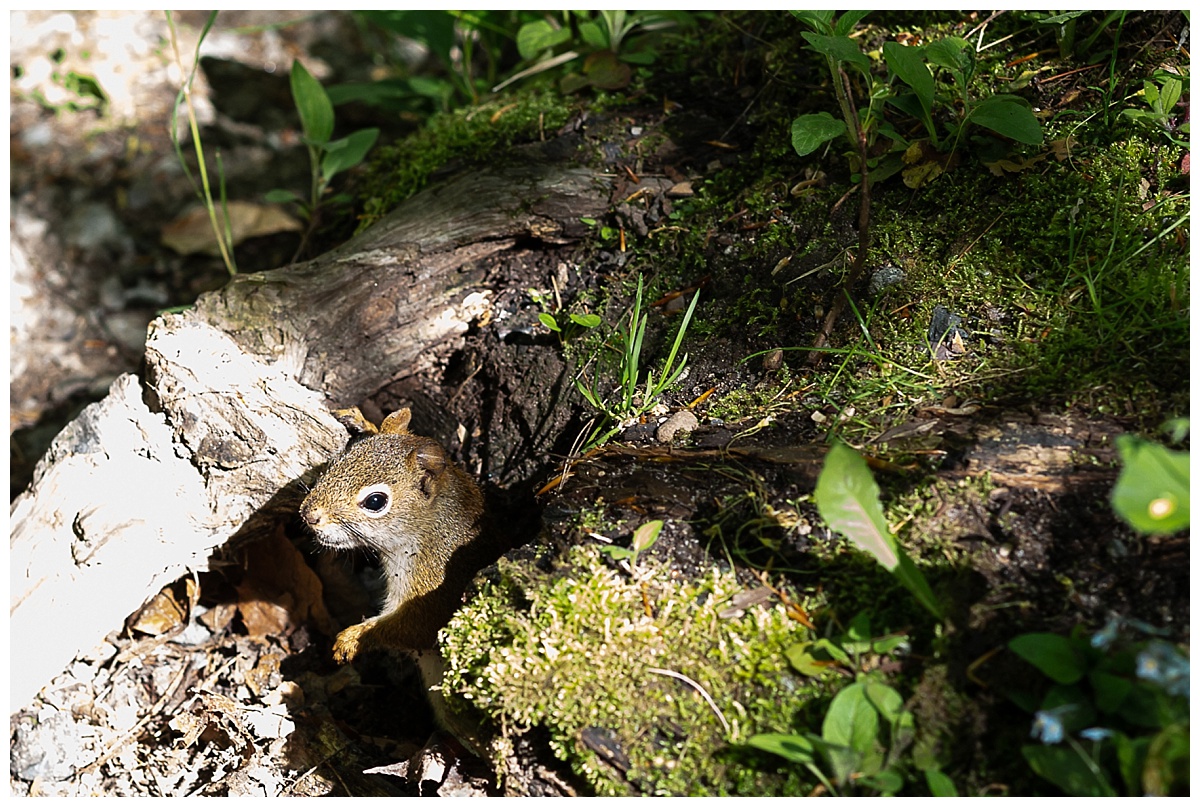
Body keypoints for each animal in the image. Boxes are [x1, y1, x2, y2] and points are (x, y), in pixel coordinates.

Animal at [300, 407, 499, 663]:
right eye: (336, 461)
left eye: (375, 501)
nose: (308, 514)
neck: (429, 531)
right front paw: (364, 422)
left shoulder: (436, 583)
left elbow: (416, 628)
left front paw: (351, 638)